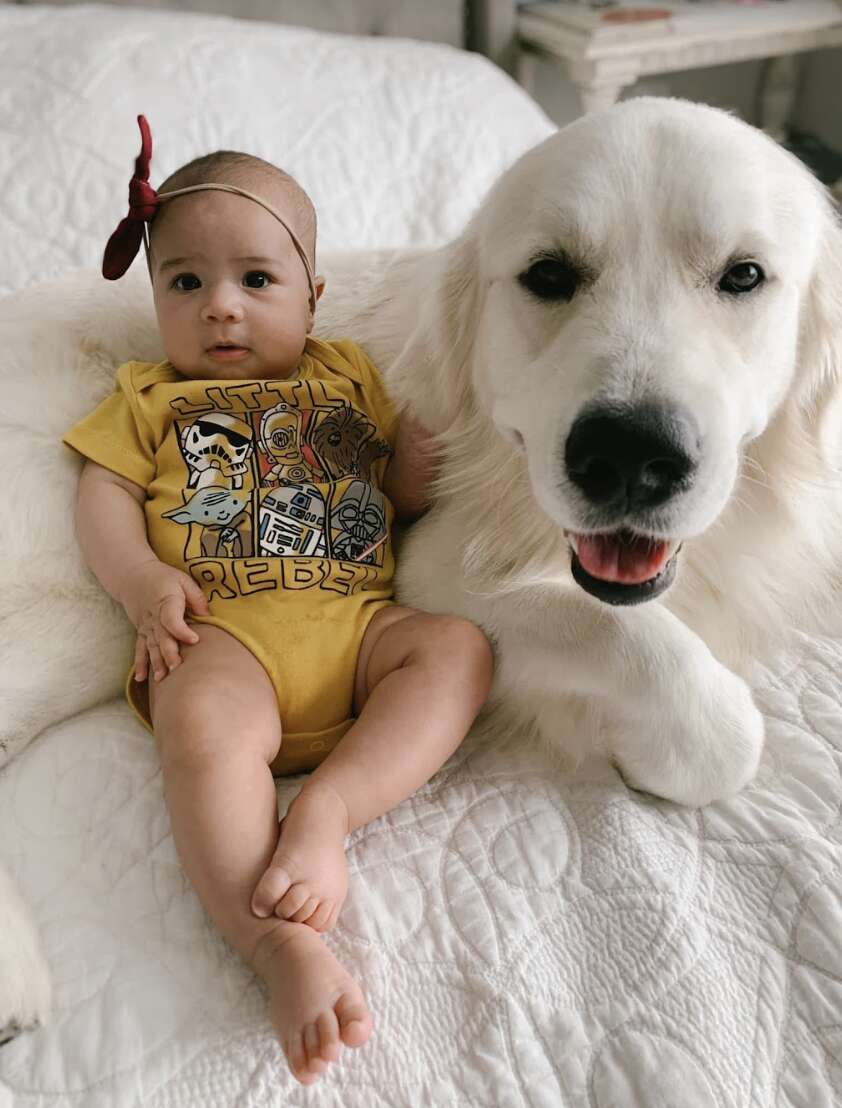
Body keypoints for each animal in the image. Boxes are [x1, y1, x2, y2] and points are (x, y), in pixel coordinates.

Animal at [1, 95, 842, 1037]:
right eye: (550, 276)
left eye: (743, 277)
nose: (628, 458)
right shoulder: (441, 567)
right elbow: (700, 706)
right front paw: (641, 748)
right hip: (94, 607)